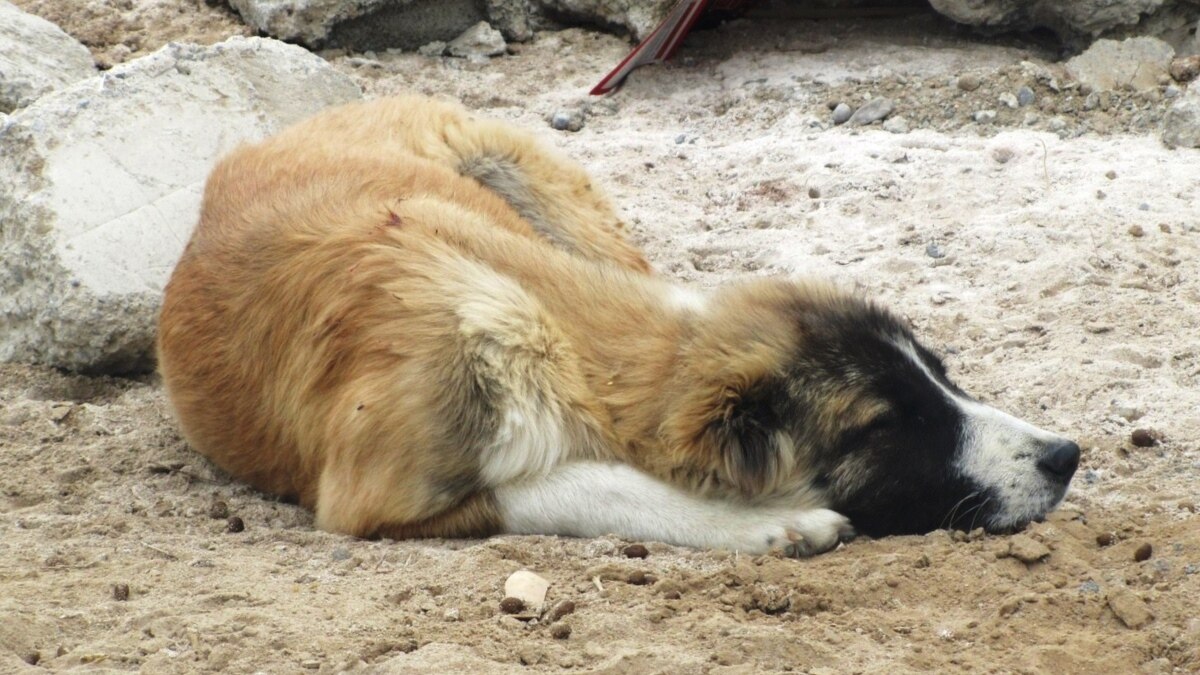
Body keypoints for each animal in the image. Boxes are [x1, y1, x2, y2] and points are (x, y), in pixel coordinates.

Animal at [154, 96, 1084, 557]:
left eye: (943, 375)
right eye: (887, 422)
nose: (1067, 455)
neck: (556, 335)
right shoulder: (376, 496)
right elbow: (589, 482)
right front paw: (770, 522)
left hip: (550, 196)